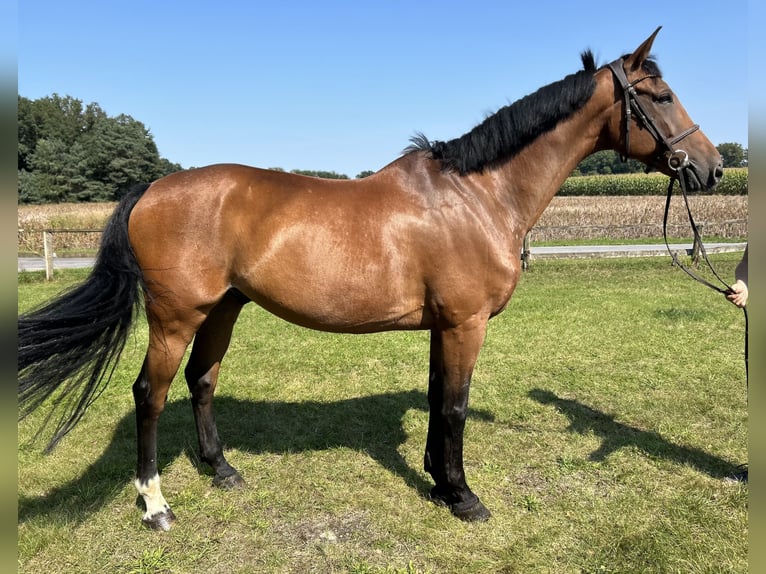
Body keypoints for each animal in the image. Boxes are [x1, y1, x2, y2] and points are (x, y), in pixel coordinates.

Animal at [19, 25, 728, 532]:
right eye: (661, 97)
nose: (713, 169)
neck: (478, 193)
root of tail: (152, 187)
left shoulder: (444, 326)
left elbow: (440, 398)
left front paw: (440, 483)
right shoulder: (466, 323)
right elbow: (455, 405)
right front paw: (464, 497)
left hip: (224, 308)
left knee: (202, 381)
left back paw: (222, 471)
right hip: (176, 316)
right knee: (151, 394)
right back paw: (156, 506)